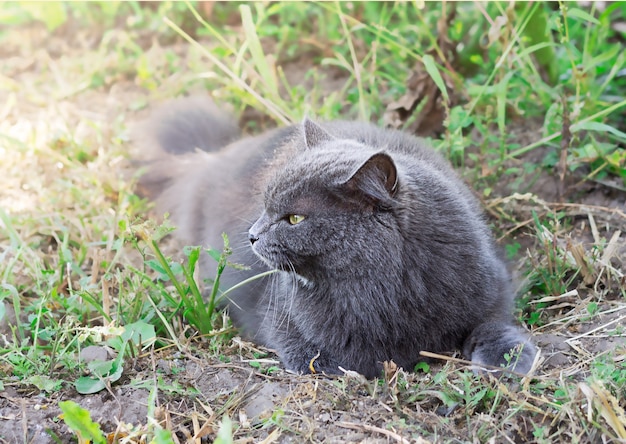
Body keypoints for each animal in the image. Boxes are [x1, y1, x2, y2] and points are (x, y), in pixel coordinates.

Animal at [134, 97, 532, 378]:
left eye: (294, 219)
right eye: (265, 206)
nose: (251, 235)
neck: (382, 291)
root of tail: (213, 157)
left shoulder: (490, 287)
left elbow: (493, 324)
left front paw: (511, 360)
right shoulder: (286, 324)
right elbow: (330, 358)